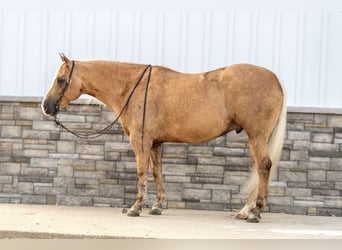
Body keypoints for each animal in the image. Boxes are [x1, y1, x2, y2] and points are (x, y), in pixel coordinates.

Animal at [42, 53, 286, 222]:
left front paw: (136, 207)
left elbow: (142, 171)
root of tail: (275, 79)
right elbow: (156, 172)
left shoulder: (140, 141)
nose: (46, 106)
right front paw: (157, 206)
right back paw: (246, 210)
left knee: (263, 167)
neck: (132, 87)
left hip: (257, 136)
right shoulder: (155, 143)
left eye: (61, 80)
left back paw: (255, 211)